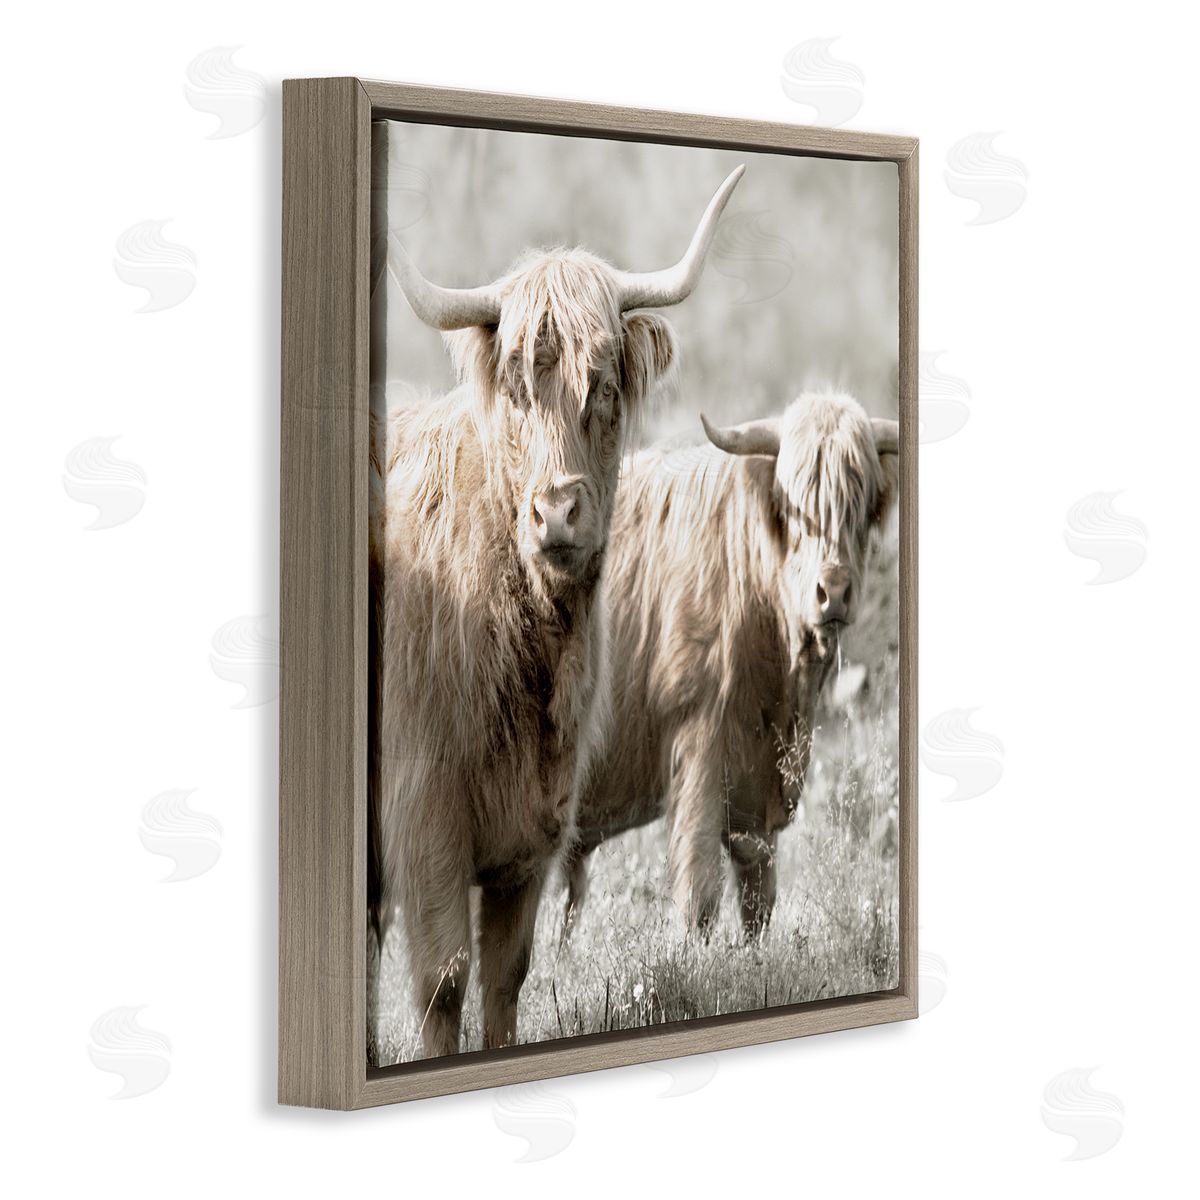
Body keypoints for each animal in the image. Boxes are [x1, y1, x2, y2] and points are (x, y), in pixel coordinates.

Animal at [370, 166, 745, 1059]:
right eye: (514, 388)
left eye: (603, 386)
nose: (557, 512)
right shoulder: (423, 819)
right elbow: (443, 984)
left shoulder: (530, 837)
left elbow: (506, 979)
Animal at [564, 390, 899, 940]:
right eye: (792, 508)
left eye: (862, 506)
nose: (833, 593)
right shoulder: (700, 744)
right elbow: (699, 893)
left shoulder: (760, 789)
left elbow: (758, 897)